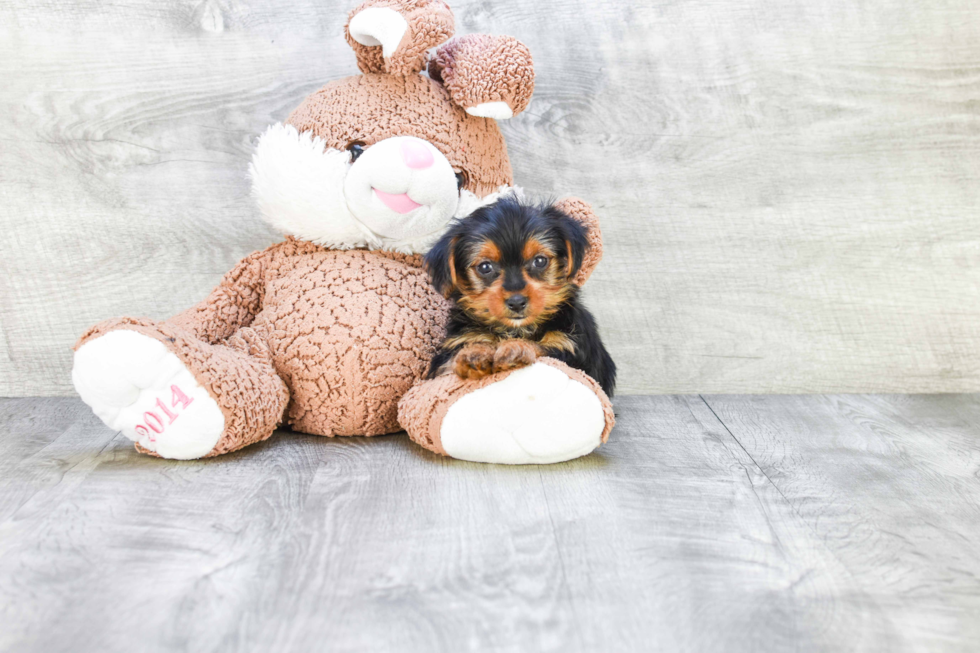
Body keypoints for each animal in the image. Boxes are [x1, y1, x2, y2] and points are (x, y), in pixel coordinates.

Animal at [424, 196, 616, 394]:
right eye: (485, 267)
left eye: (540, 261)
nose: (516, 302)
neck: (516, 330)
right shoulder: (443, 361)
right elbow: (455, 357)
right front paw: (473, 352)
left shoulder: (573, 354)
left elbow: (542, 348)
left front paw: (516, 348)